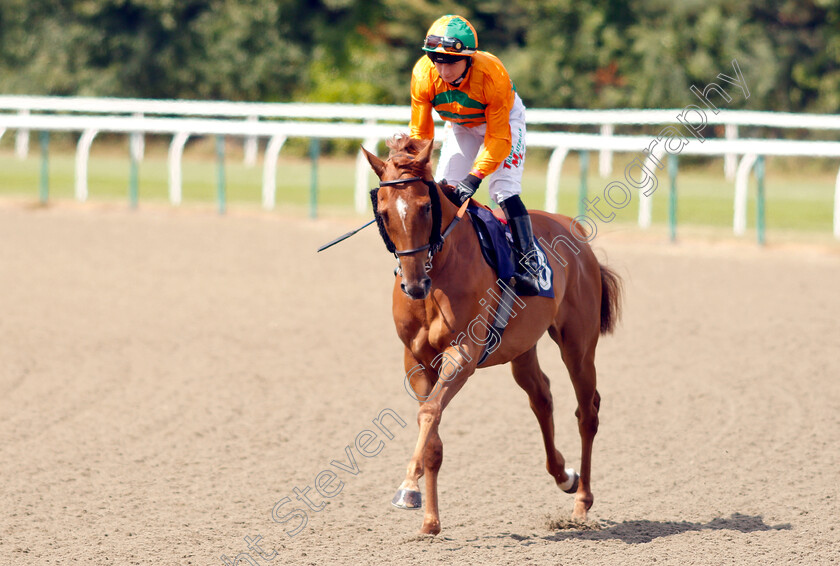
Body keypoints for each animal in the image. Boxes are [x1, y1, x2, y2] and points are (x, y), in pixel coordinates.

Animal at [362, 134, 624, 536]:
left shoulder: (463, 354)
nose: (414, 284)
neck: (440, 272)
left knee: (587, 411)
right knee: (541, 396)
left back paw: (581, 503)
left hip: (578, 344)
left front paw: (408, 487)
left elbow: (429, 412)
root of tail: (574, 231)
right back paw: (564, 475)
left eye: (425, 207)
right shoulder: (416, 360)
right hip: (521, 347)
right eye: (385, 212)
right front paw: (430, 520)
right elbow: (431, 427)